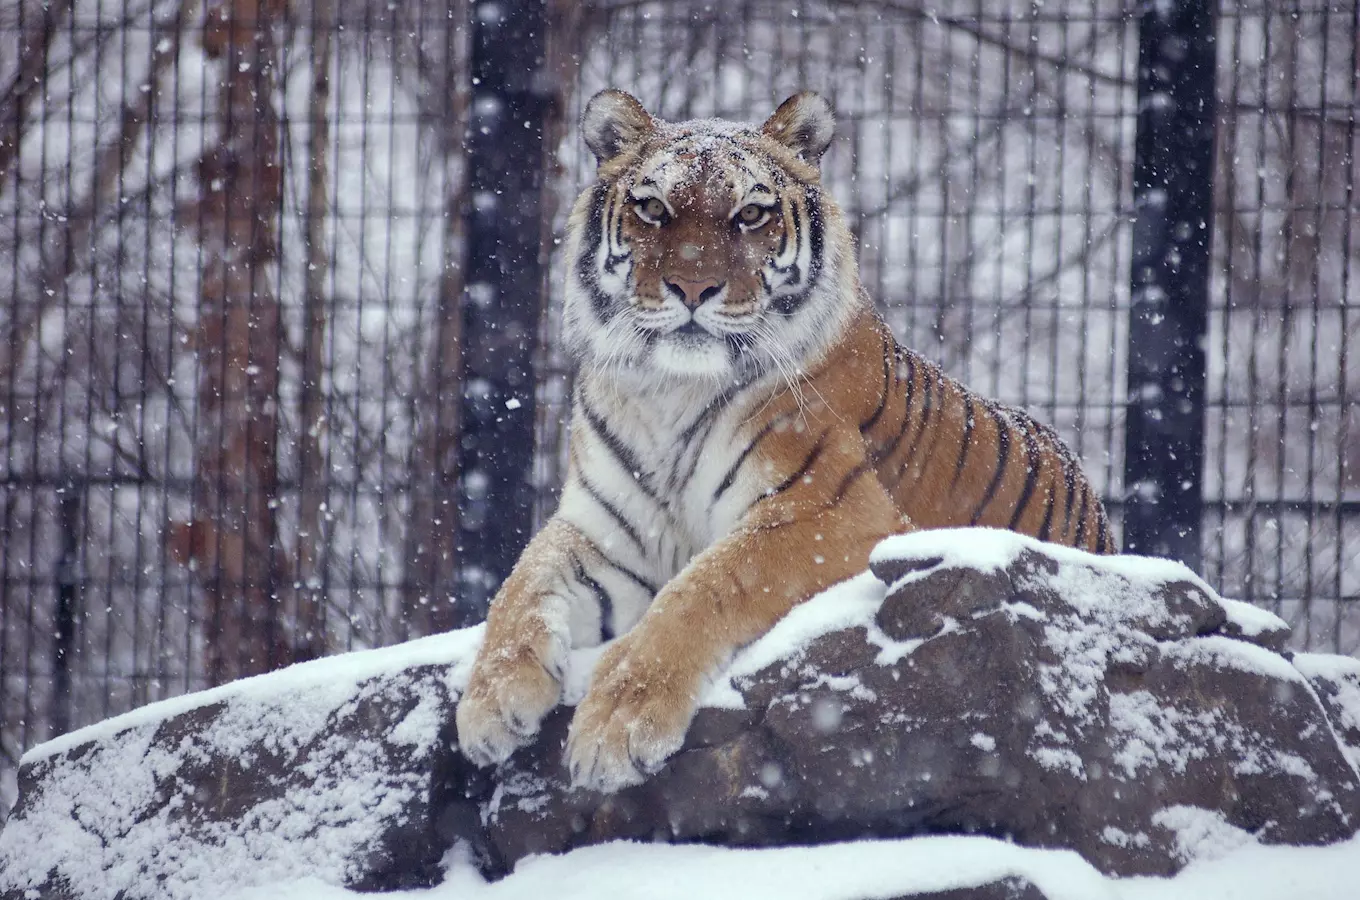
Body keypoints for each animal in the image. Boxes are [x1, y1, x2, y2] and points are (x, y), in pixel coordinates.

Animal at [456, 89, 1115, 799]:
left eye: (750, 214)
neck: (668, 391)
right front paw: (490, 704)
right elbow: (521, 584)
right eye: (654, 207)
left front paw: (617, 723)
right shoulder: (604, 531)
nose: (693, 288)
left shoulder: (829, 515)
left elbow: (704, 586)